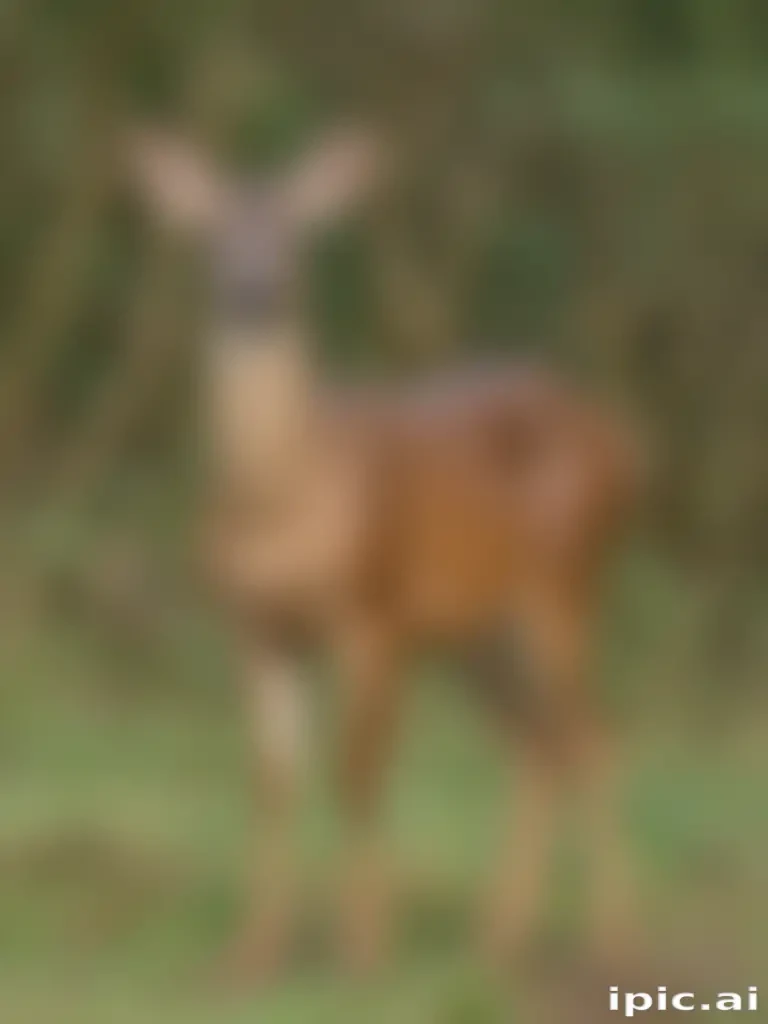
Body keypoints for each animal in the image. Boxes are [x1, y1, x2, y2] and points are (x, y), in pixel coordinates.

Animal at [126, 125, 643, 980]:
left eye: (296, 233)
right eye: (212, 234)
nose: (254, 290)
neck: (284, 495)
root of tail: (623, 441)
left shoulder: (374, 613)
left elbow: (358, 775)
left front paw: (364, 950)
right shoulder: (258, 629)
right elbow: (271, 783)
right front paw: (250, 954)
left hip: (568, 584)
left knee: (596, 737)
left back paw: (611, 939)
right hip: (478, 632)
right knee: (540, 744)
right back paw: (498, 939)